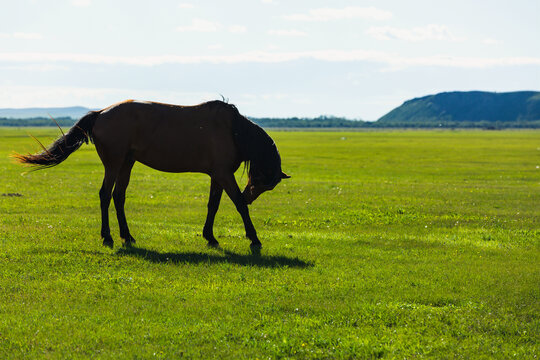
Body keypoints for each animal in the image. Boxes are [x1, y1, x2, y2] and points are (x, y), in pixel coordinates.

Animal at [14, 100, 288, 249]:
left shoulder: (217, 175)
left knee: (118, 196)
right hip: (114, 163)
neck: (233, 130)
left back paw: (126, 235)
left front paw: (210, 236)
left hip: (126, 163)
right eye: (262, 179)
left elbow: (213, 205)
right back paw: (107, 236)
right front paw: (253, 237)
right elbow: (238, 204)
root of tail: (101, 113)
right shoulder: (223, 175)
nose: (251, 196)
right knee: (105, 195)